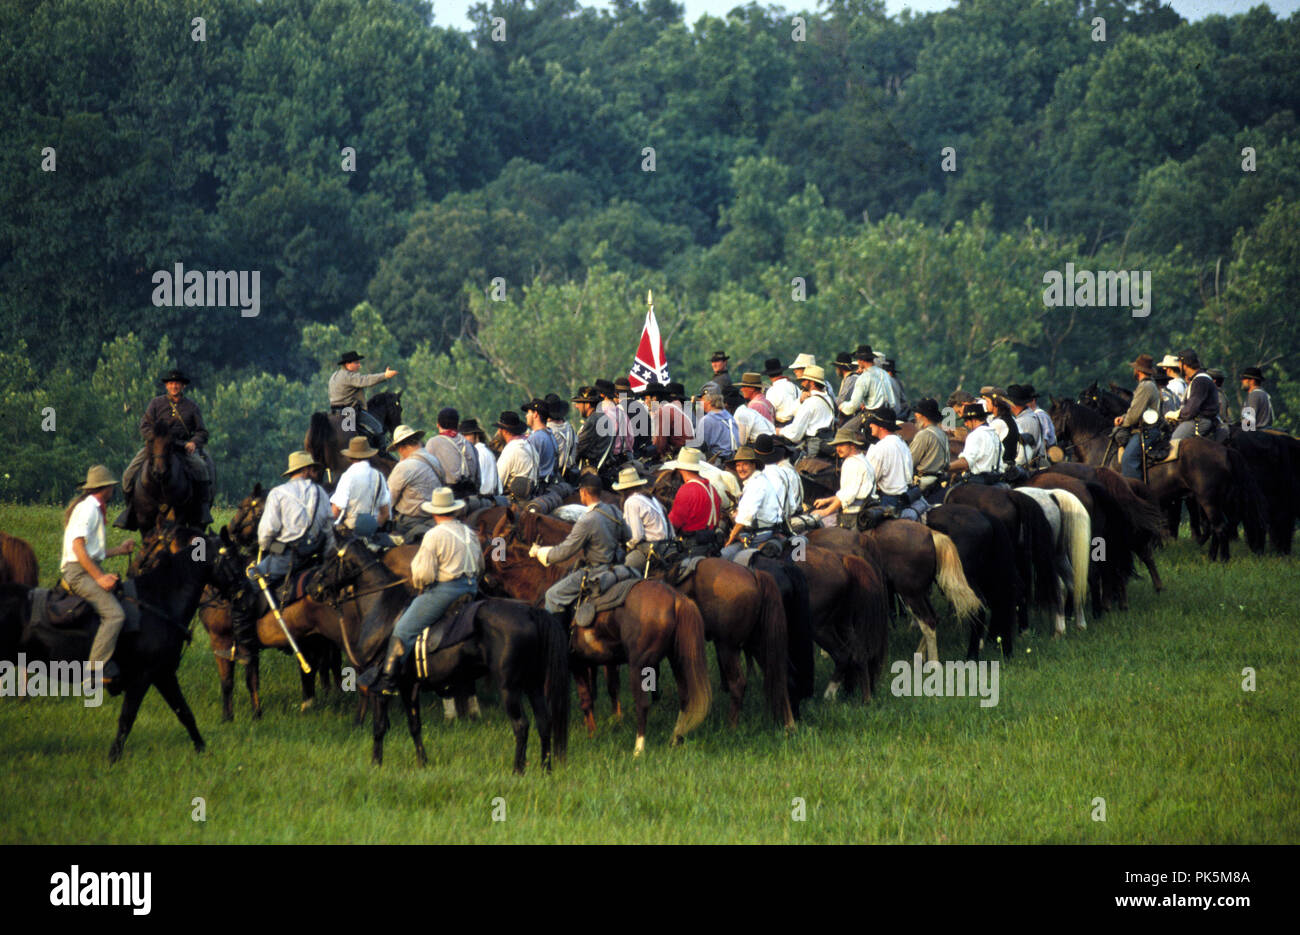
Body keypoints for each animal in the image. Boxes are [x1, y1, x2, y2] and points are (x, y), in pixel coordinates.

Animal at [0, 525, 241, 759]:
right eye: (231, 556)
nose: (244, 591)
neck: (159, 603)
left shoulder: (163, 673)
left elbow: (185, 713)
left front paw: (203, 750)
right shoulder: (144, 676)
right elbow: (127, 717)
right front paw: (113, 757)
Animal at [314, 538, 569, 769]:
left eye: (331, 558)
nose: (312, 586)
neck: (384, 609)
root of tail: (530, 612)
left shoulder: (381, 688)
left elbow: (378, 727)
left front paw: (376, 763)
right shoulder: (409, 687)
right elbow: (414, 725)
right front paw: (422, 763)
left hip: (510, 687)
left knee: (521, 725)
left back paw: (518, 770)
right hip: (533, 684)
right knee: (544, 722)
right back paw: (545, 768)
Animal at [486, 507, 712, 759]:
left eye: (502, 536)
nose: (484, 574)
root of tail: (675, 598)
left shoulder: (574, 663)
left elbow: (584, 699)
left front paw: (591, 735)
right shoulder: (594, 662)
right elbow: (600, 692)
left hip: (640, 665)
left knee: (643, 703)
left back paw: (638, 749)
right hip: (677, 659)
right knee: (685, 698)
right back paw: (675, 738)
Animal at [1013, 488, 1086, 637]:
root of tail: (1050, 495)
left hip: (1046, 559)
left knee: (1057, 587)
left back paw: (1059, 630)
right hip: (1059, 556)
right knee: (1072, 585)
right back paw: (1080, 625)